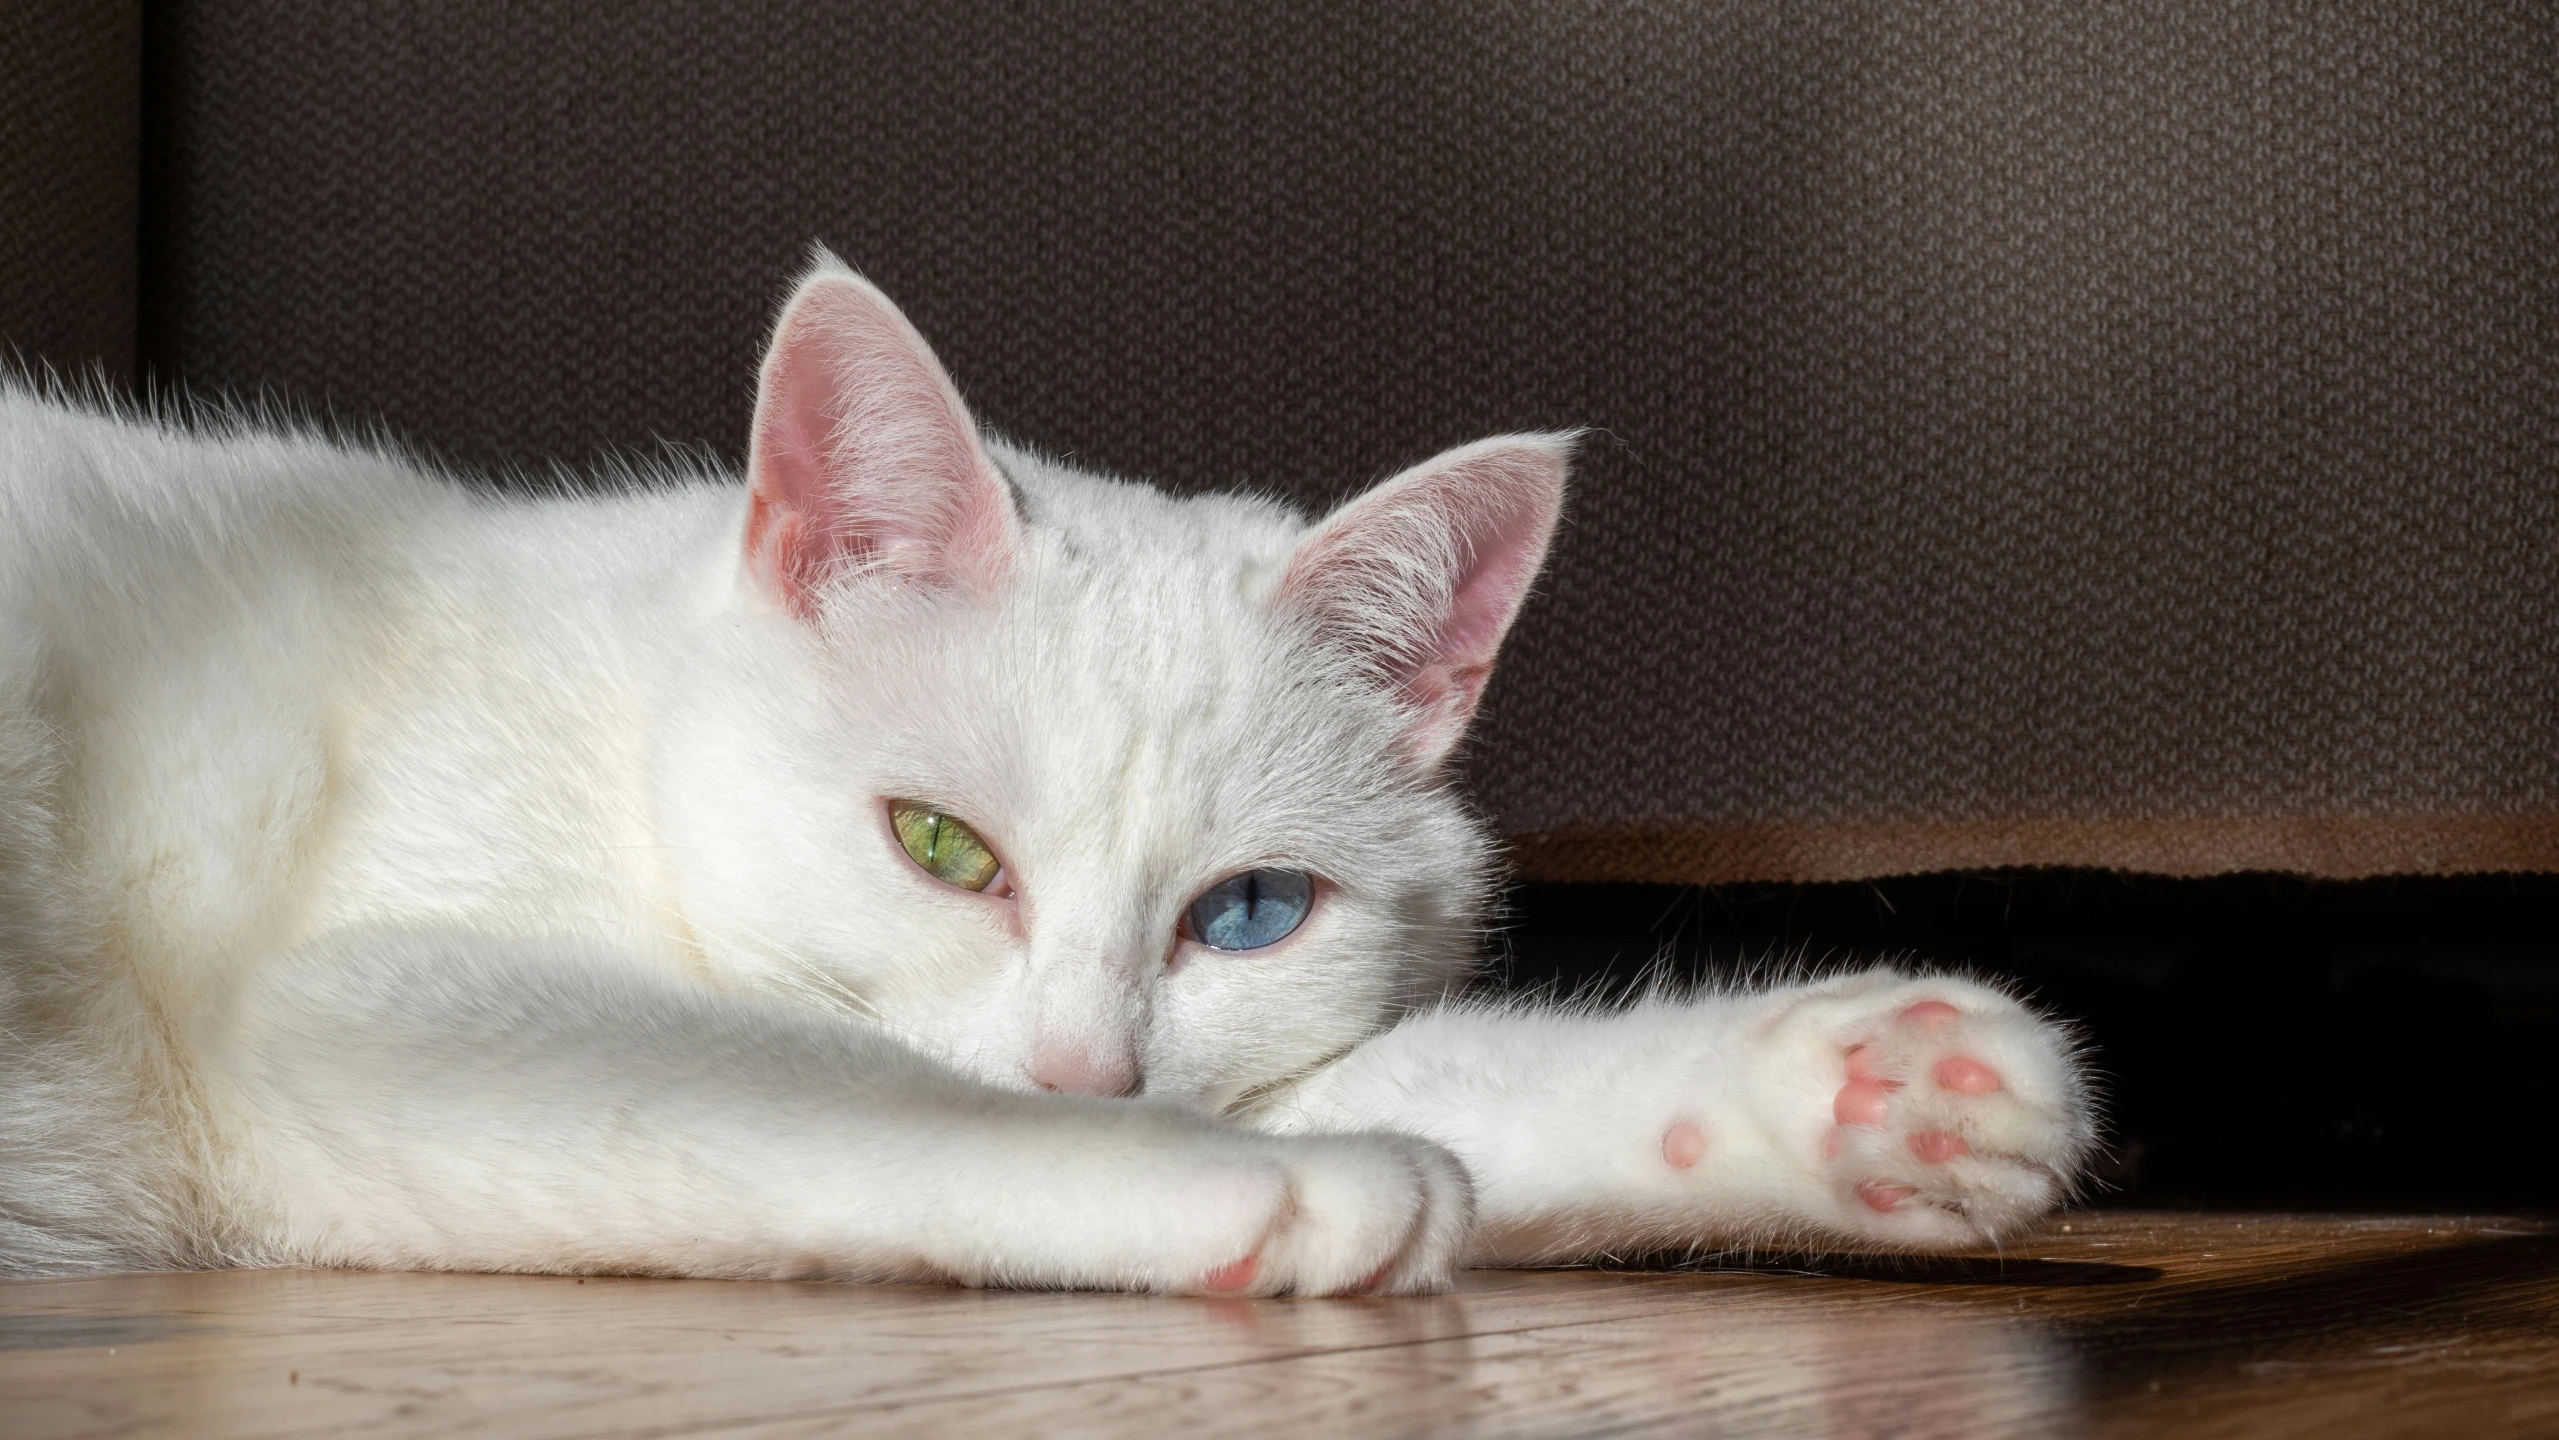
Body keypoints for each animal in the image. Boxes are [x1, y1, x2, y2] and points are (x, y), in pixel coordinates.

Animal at [0, 250, 2098, 1294]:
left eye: (1248, 915)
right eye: (939, 848)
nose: (1091, 1069)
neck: (624, 728)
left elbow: (1441, 1091)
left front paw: (1863, 1086)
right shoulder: (367, 1010)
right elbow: (826, 1093)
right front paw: (1268, 1190)